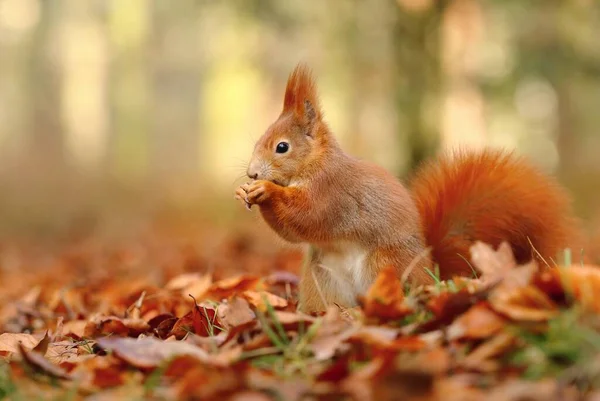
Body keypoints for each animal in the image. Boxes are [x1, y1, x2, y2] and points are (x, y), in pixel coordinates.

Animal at [234, 63, 580, 312]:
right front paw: (245, 192)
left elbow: (307, 216)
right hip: (321, 278)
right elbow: (293, 232)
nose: (252, 173)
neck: (314, 166)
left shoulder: (332, 193)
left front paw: (267, 192)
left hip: (384, 265)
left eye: (282, 147)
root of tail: (429, 272)